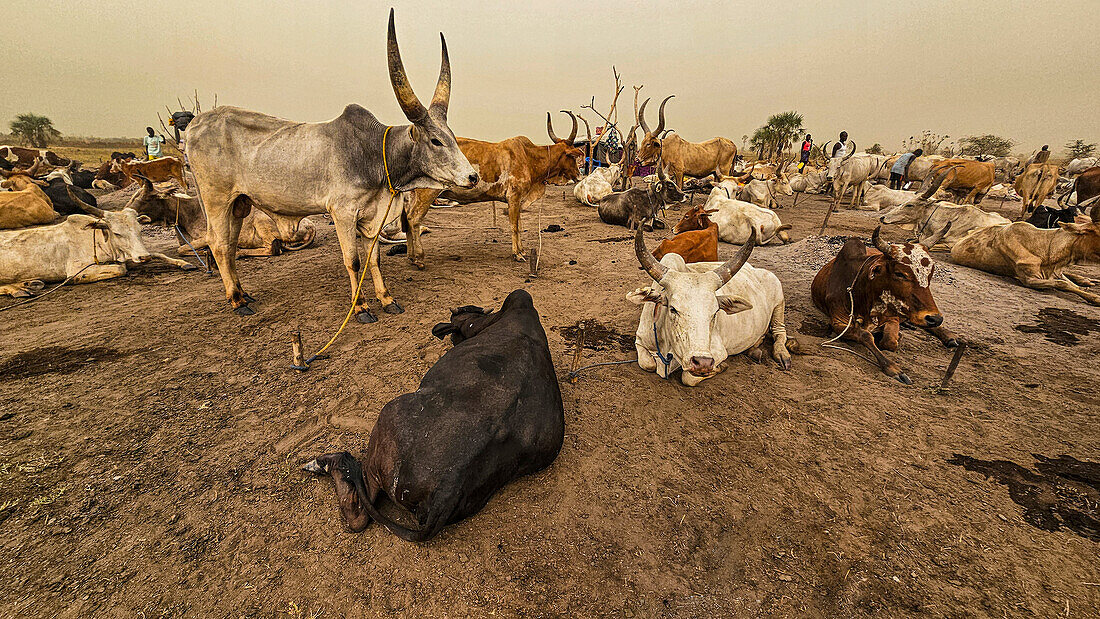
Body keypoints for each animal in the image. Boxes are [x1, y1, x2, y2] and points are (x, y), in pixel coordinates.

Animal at [0, 188, 193, 296]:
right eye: (117, 233)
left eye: (139, 230)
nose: (144, 257)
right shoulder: (77, 268)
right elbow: (121, 269)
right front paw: (78, 279)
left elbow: (158, 253)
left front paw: (184, 263)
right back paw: (19, 289)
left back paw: (29, 284)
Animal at [629, 230, 792, 387]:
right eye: (673, 309)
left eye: (715, 313)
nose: (702, 362)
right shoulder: (640, 340)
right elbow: (647, 364)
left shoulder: (718, 352)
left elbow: (688, 377)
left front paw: (721, 366)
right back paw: (755, 348)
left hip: (779, 298)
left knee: (779, 331)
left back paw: (782, 354)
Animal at [814, 225, 959, 384]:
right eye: (900, 273)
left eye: (930, 274)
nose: (935, 318)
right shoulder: (839, 322)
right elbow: (866, 335)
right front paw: (892, 367)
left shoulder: (892, 318)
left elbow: (890, 341)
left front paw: (896, 337)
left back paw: (949, 336)